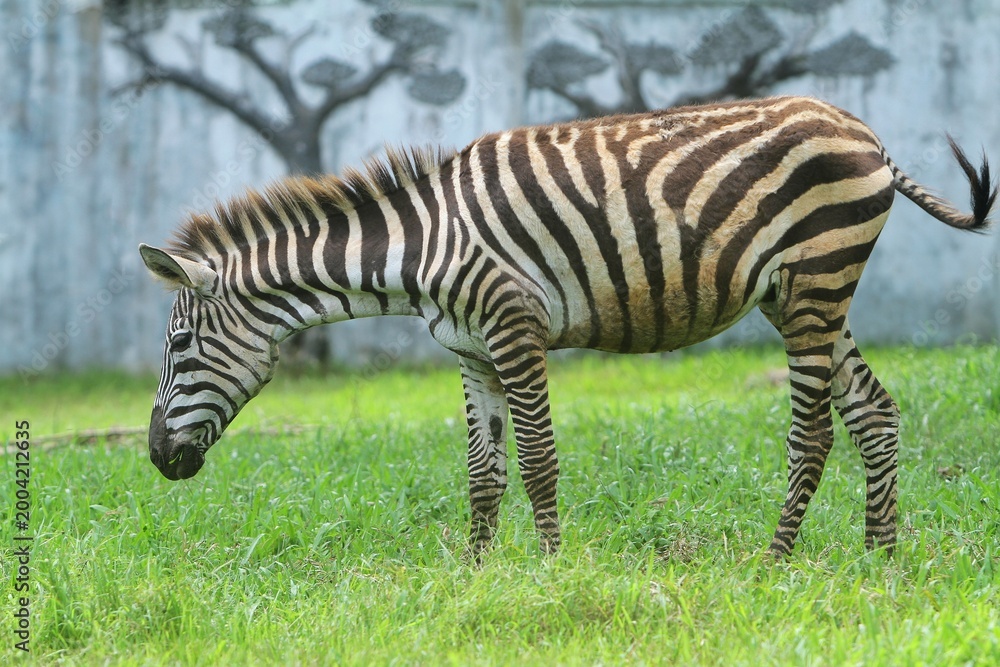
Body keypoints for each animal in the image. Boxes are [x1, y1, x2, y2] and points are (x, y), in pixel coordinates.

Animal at [140, 96, 996, 558]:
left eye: (178, 346)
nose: (155, 459)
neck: (424, 244)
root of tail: (863, 131)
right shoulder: (471, 352)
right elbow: (483, 472)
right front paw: (477, 575)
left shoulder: (515, 329)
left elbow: (538, 460)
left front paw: (552, 567)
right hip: (800, 293)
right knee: (874, 412)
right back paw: (879, 559)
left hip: (817, 280)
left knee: (813, 430)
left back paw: (777, 560)